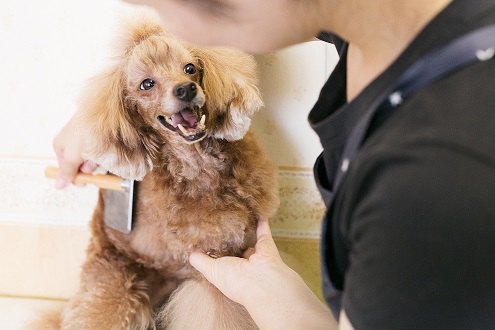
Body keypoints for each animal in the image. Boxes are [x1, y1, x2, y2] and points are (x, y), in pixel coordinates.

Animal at [35, 12, 280, 330]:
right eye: (147, 84)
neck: (201, 168)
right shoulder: (213, 272)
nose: (186, 89)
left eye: (190, 68)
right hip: (115, 284)